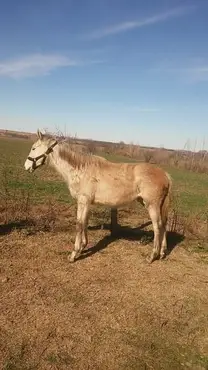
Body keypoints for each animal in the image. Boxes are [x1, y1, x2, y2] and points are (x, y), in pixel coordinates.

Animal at [24, 130, 172, 264]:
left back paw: (152, 256)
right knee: (164, 224)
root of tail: (164, 174)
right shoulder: (87, 203)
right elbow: (84, 222)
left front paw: (74, 254)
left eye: (33, 148)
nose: (26, 167)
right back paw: (162, 253)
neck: (80, 169)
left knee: (157, 226)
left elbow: (79, 224)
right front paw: (82, 247)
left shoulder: (83, 201)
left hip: (152, 205)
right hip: (152, 204)